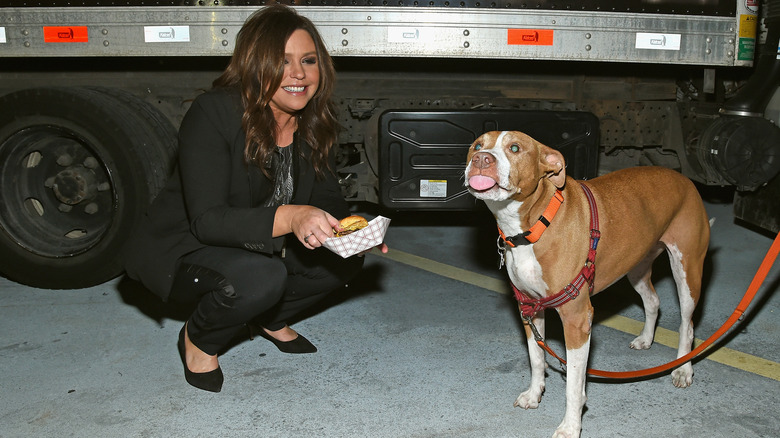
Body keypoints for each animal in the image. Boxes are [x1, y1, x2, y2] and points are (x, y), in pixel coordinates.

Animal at [466, 131, 708, 438]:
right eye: (477, 145)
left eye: (515, 148)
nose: (481, 159)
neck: (535, 226)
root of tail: (684, 179)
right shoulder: (530, 308)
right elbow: (536, 357)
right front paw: (534, 394)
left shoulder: (577, 319)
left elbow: (573, 385)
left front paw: (570, 426)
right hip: (636, 267)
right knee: (653, 301)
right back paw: (646, 339)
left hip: (687, 272)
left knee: (687, 326)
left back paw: (683, 369)